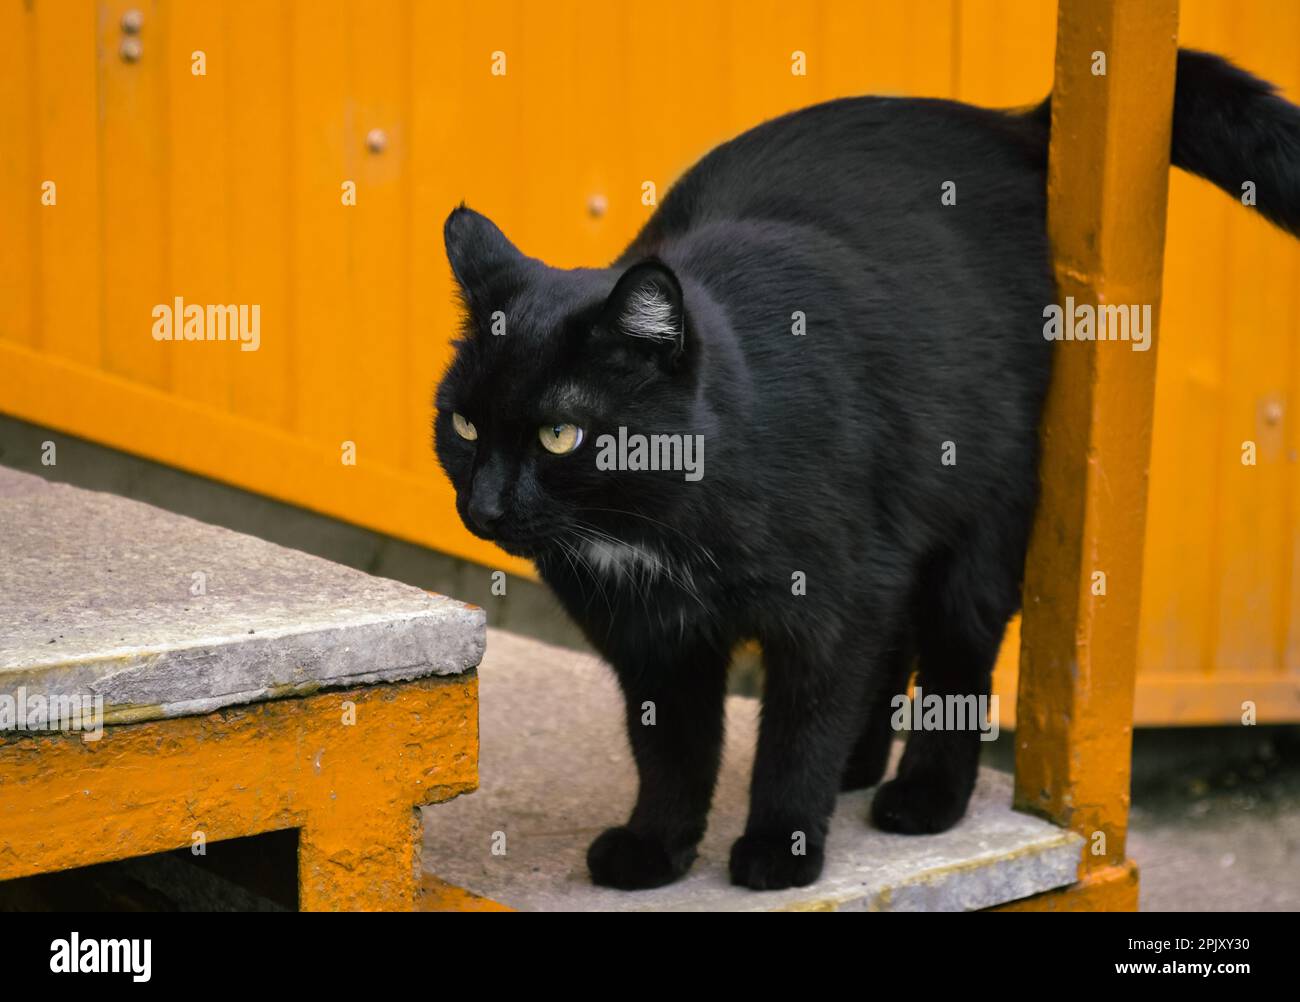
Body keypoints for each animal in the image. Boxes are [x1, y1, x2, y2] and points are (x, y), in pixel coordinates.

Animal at [431, 51, 1294, 888]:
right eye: (463, 424)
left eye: (559, 434)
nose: (484, 507)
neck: (659, 517)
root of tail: (1009, 121)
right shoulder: (650, 637)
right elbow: (671, 749)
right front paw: (656, 848)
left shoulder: (830, 600)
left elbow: (799, 729)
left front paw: (781, 847)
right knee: (896, 635)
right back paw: (858, 764)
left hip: (980, 512)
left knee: (955, 645)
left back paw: (923, 796)